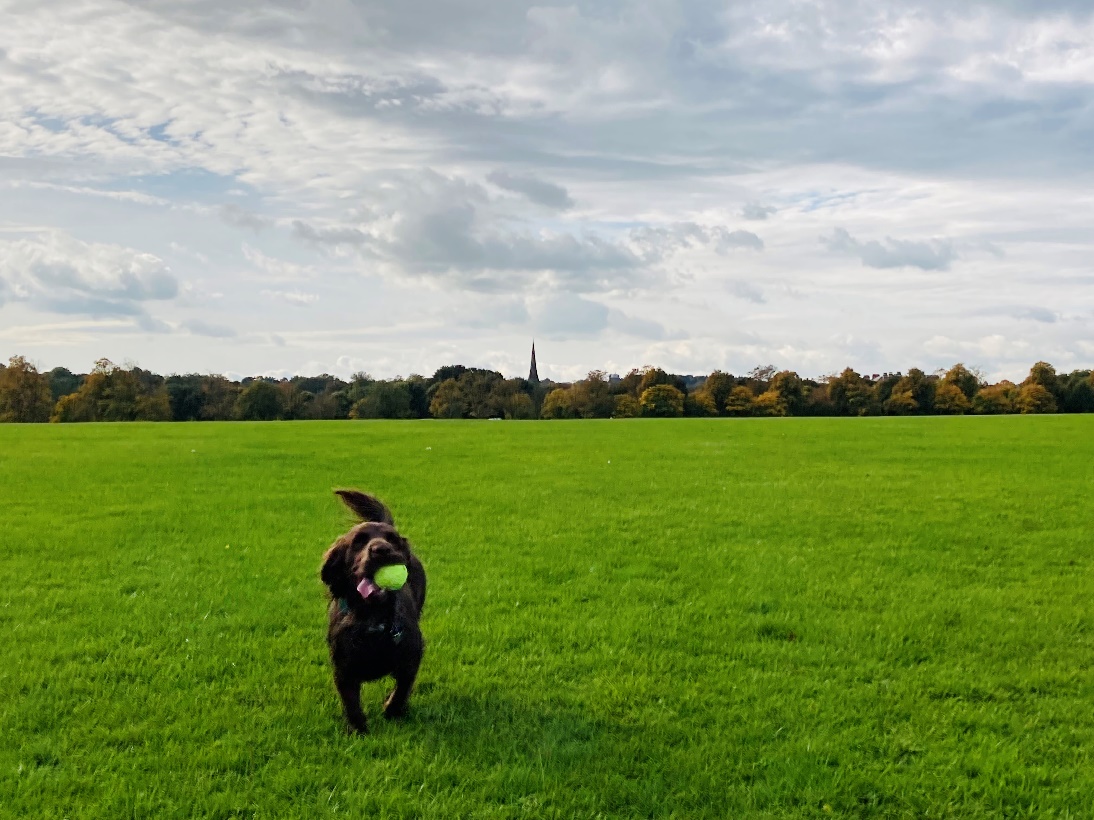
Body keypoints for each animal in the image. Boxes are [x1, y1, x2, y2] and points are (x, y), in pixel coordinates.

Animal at [319, 492, 424, 734]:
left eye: (392, 539)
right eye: (358, 541)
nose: (381, 549)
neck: (372, 619)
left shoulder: (411, 657)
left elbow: (401, 689)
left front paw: (392, 711)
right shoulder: (343, 669)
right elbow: (351, 703)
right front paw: (359, 730)